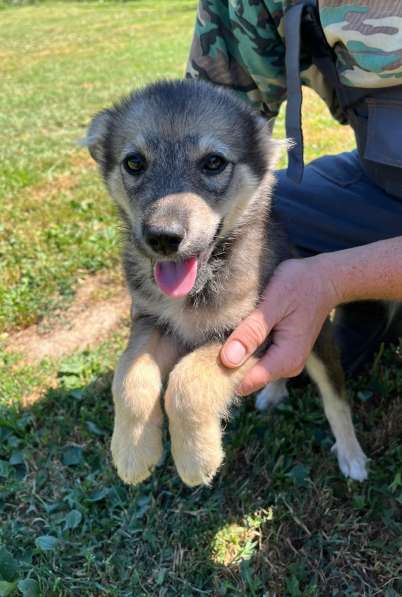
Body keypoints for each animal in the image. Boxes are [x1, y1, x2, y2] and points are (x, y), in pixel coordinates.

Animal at [86, 79, 370, 486]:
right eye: (134, 163)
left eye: (214, 163)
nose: (163, 238)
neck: (204, 280)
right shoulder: (152, 321)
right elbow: (129, 377)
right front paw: (132, 452)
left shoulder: (252, 329)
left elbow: (188, 381)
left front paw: (195, 458)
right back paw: (273, 392)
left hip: (318, 339)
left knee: (336, 399)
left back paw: (351, 455)